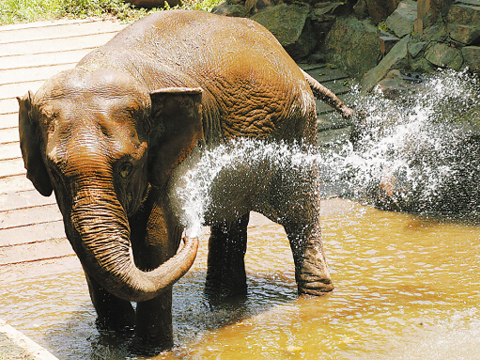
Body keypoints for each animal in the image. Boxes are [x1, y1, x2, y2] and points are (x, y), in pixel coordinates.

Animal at [16, 9, 352, 352]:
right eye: (54, 169)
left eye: (126, 167)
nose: (192, 232)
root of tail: (290, 59)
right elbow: (77, 239)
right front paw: (114, 340)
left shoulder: (178, 157)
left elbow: (156, 238)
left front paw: (149, 350)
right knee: (233, 220)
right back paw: (225, 302)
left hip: (298, 129)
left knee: (299, 215)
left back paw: (315, 301)